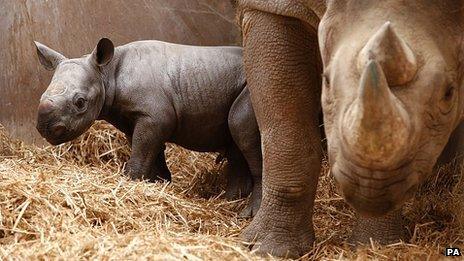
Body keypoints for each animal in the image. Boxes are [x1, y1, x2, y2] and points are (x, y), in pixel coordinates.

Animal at [33, 37, 260, 215]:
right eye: (41, 95)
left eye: (80, 102)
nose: (45, 129)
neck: (107, 74)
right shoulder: (138, 119)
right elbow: (151, 152)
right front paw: (158, 185)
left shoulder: (154, 116)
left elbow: (141, 154)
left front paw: (131, 183)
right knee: (236, 147)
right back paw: (229, 203)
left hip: (253, 89)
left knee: (241, 128)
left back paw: (247, 214)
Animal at [236, 0, 464, 256]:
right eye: (326, 81)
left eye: (449, 94)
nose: (371, 185)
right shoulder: (274, 8)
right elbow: (286, 130)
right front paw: (266, 249)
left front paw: (375, 247)